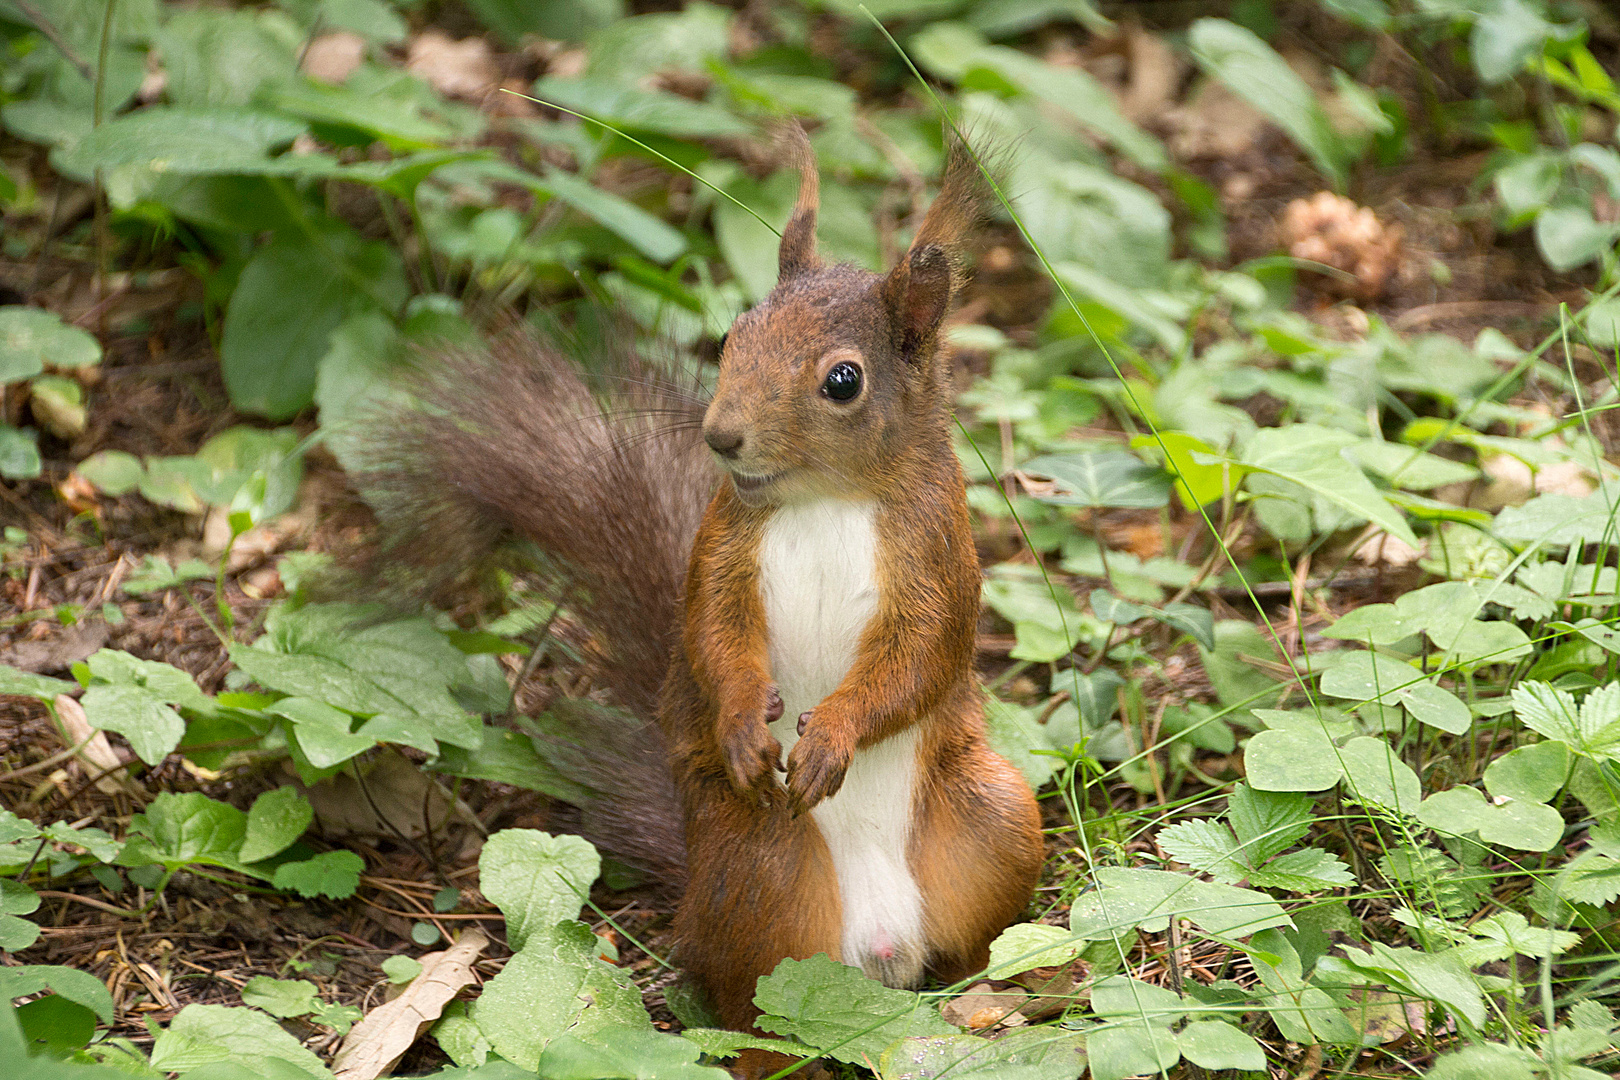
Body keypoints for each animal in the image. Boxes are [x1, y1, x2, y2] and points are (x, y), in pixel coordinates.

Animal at [351, 128, 1036, 1062]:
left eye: (844, 381)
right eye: (729, 337)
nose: (721, 436)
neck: (825, 499)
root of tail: (879, 955)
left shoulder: (937, 550)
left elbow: (921, 654)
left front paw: (834, 734)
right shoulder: (723, 546)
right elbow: (714, 633)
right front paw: (745, 723)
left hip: (992, 820)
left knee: (981, 947)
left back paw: (992, 999)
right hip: (757, 871)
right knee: (755, 1010)